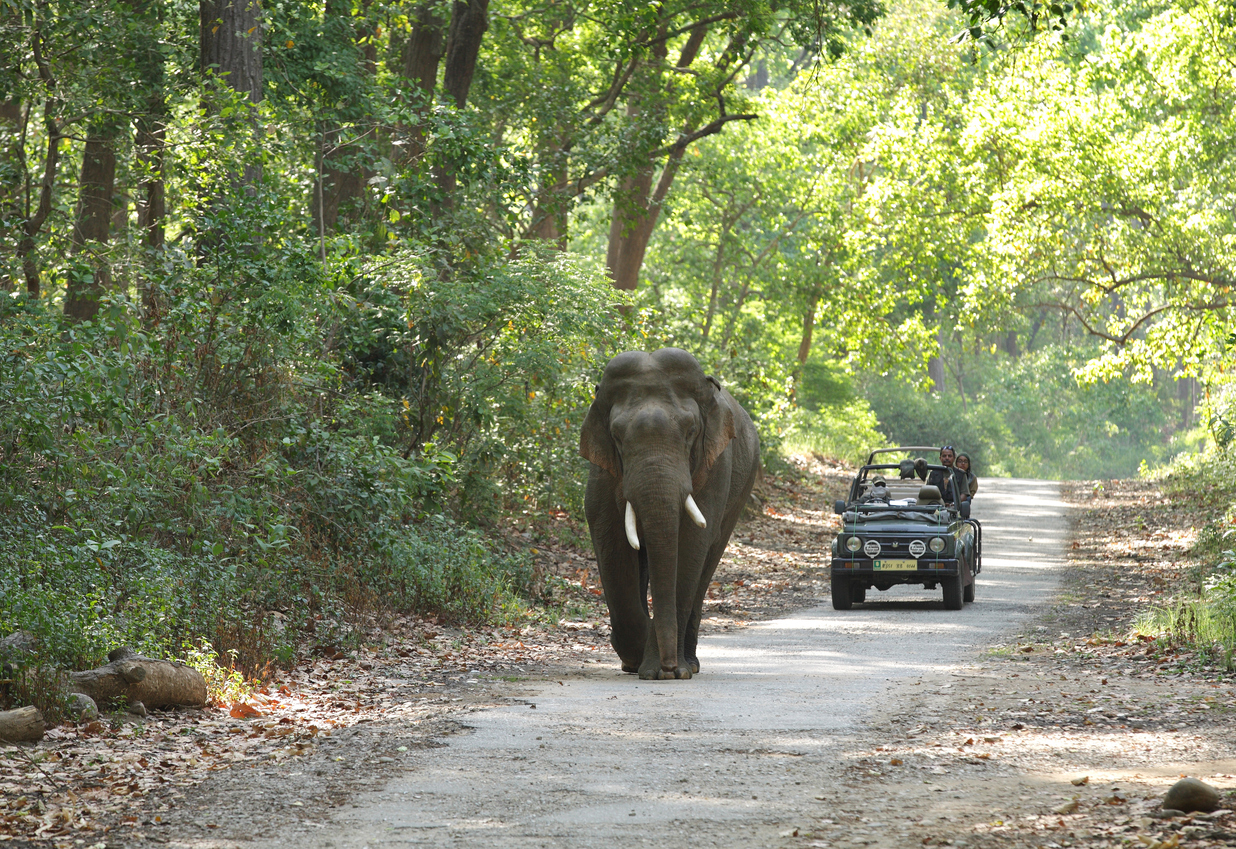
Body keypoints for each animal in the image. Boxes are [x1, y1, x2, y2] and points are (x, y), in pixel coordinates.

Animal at [580, 348, 761, 682]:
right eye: (617, 436)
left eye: (691, 432)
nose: (666, 667)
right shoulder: (602, 470)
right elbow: (611, 537)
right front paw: (640, 661)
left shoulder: (715, 466)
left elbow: (690, 544)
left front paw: (665, 671)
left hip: (742, 489)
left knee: (707, 562)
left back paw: (690, 663)